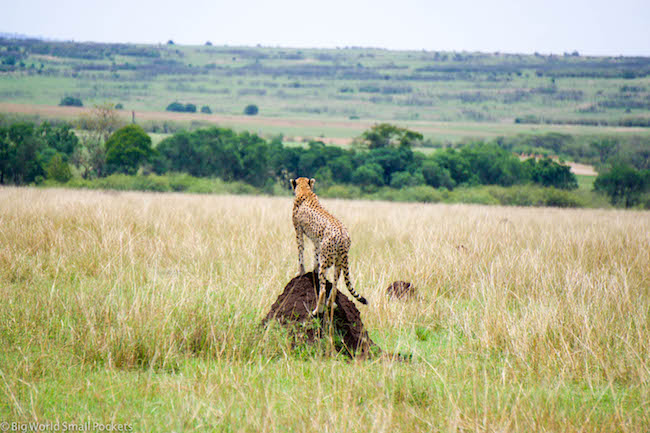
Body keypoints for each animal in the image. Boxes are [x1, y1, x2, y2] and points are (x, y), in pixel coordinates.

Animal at [292, 176, 368, 314]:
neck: (305, 190)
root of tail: (343, 235)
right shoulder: (318, 243)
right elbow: (315, 256)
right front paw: (313, 270)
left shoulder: (298, 231)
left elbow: (300, 252)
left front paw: (301, 272)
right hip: (338, 263)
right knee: (335, 285)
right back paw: (329, 304)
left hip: (327, 260)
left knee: (322, 289)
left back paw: (316, 311)